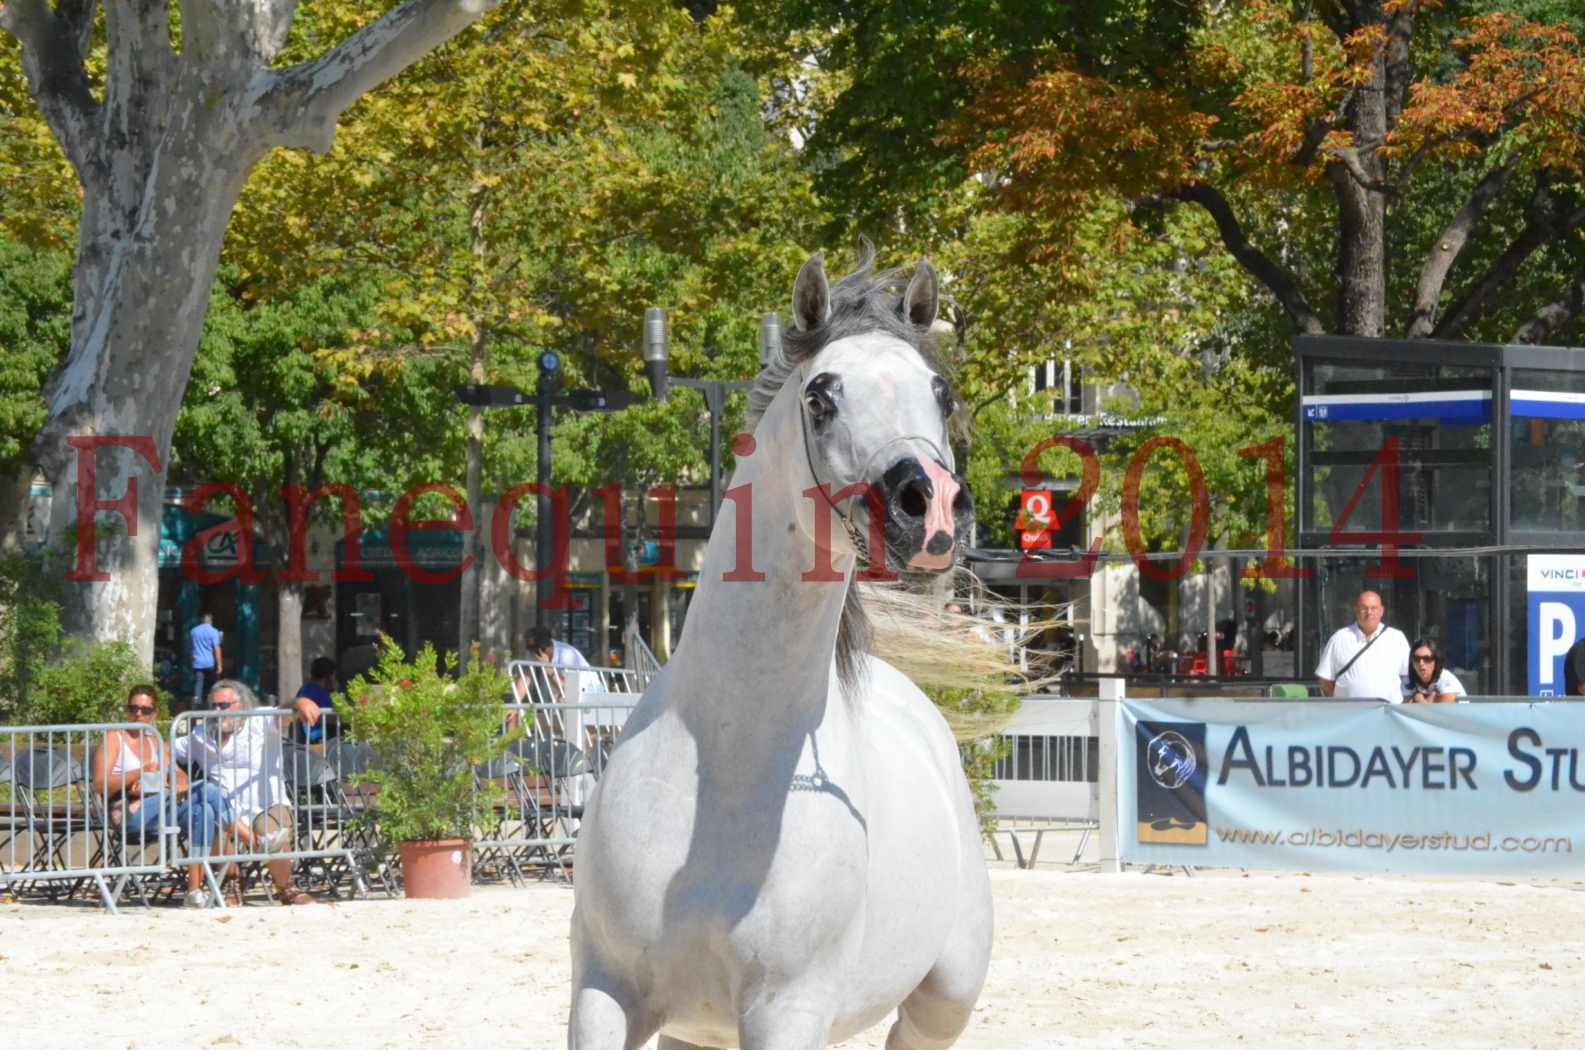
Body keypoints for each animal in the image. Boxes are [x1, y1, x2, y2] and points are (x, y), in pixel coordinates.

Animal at [570, 249, 989, 1050]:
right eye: (821, 398)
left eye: (941, 392)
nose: (930, 510)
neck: (726, 767)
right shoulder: (602, 992)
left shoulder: (788, 1011)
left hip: (944, 997)